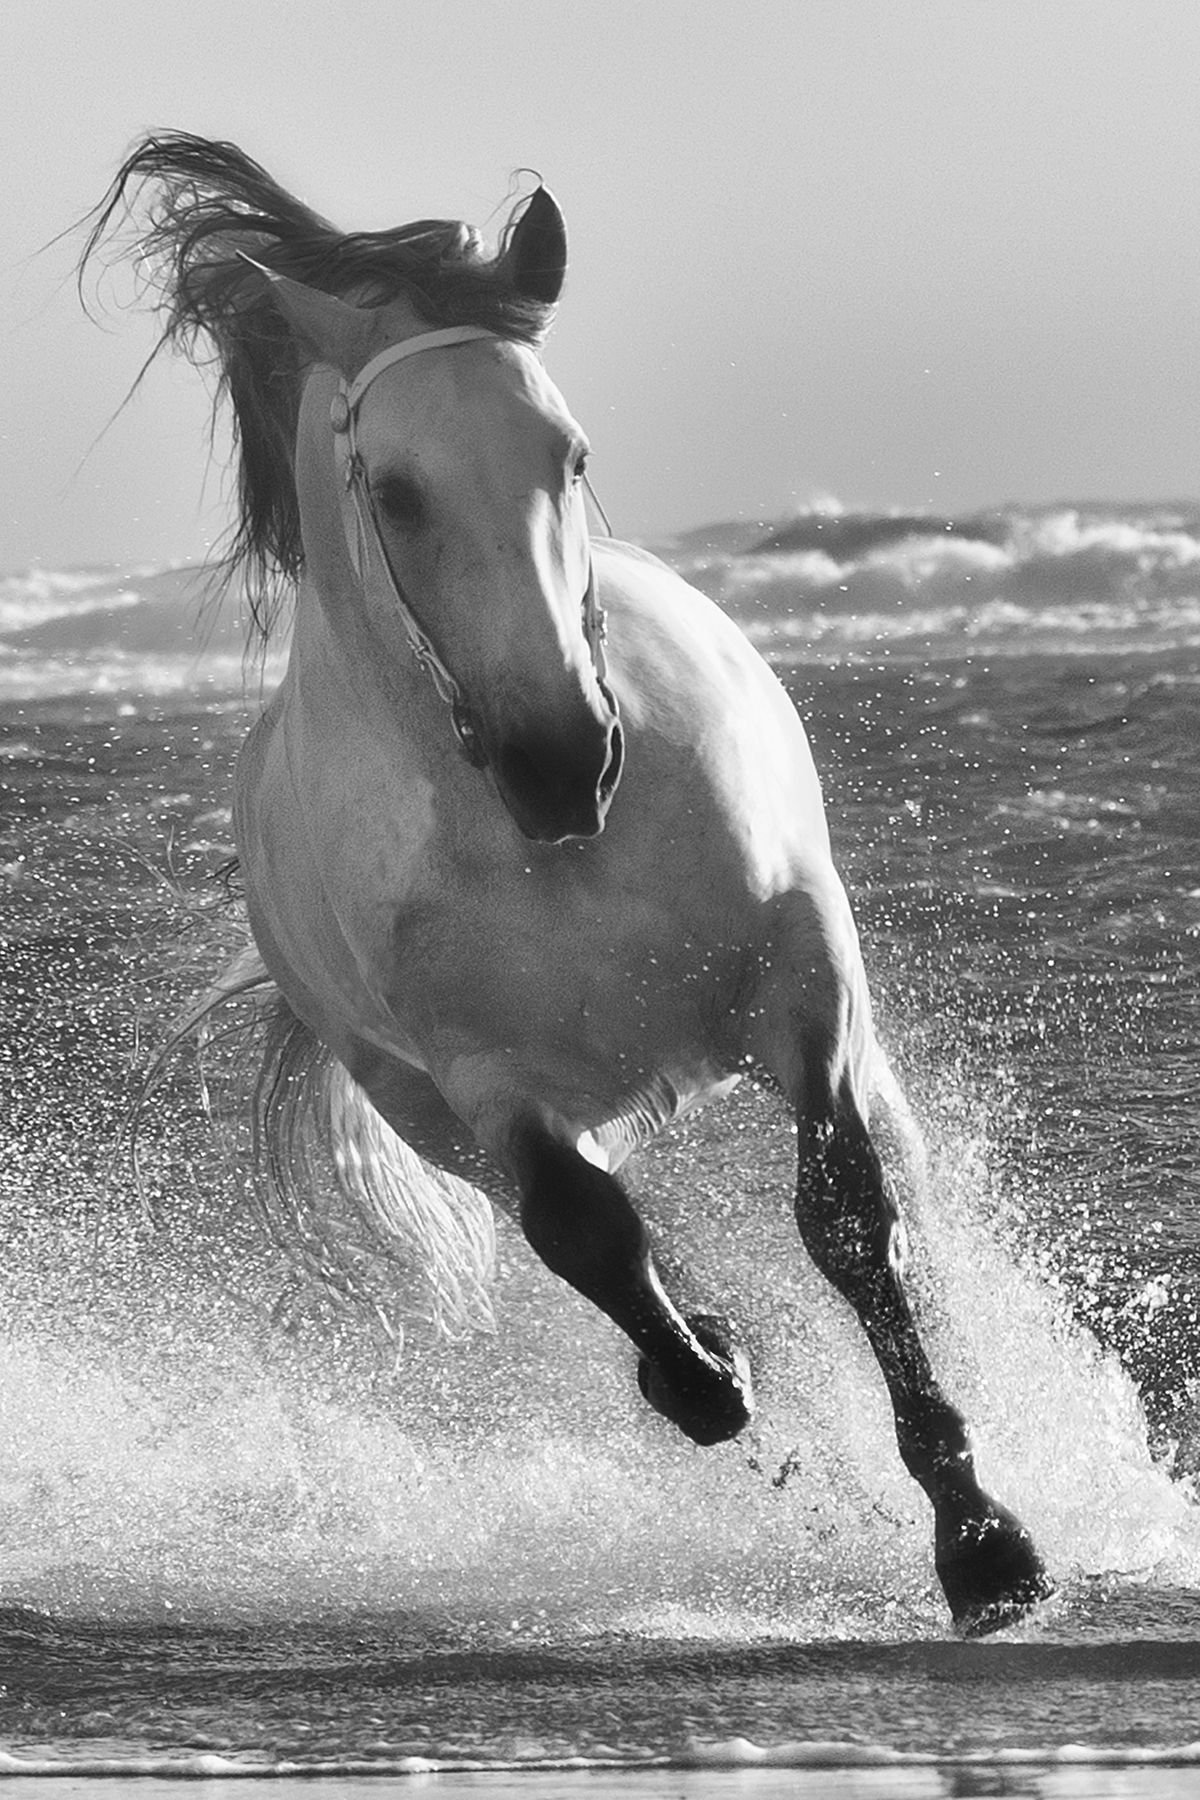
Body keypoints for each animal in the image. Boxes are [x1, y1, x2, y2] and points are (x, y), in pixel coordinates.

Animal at [84, 132, 1051, 1635]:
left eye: (570, 453)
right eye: (396, 489)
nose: (563, 757)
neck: (551, 849)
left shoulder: (800, 978)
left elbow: (847, 1218)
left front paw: (983, 1540)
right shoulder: (487, 1084)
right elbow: (586, 1233)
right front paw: (706, 1372)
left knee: (890, 1189)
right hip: (432, 1111)